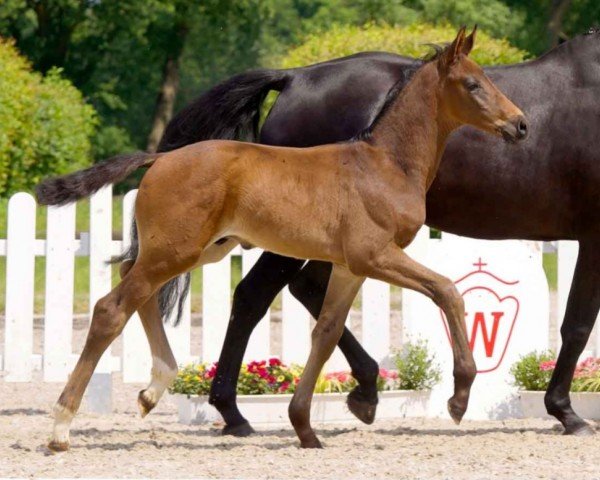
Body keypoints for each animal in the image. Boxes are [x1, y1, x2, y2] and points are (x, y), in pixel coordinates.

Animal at [38, 28, 524, 452]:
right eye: (472, 84)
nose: (519, 125)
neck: (386, 163)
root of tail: (159, 157)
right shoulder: (375, 256)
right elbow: (448, 291)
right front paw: (459, 398)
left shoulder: (349, 267)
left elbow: (325, 334)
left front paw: (306, 428)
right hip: (176, 251)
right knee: (111, 308)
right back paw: (62, 428)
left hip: (196, 250)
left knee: (132, 282)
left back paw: (153, 390)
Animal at [151, 28, 600, 436]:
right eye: (473, 85)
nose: (521, 126)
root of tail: (295, 77)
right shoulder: (593, 237)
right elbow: (576, 325)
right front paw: (566, 413)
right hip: (293, 238)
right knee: (253, 297)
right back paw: (235, 413)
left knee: (302, 292)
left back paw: (361, 390)